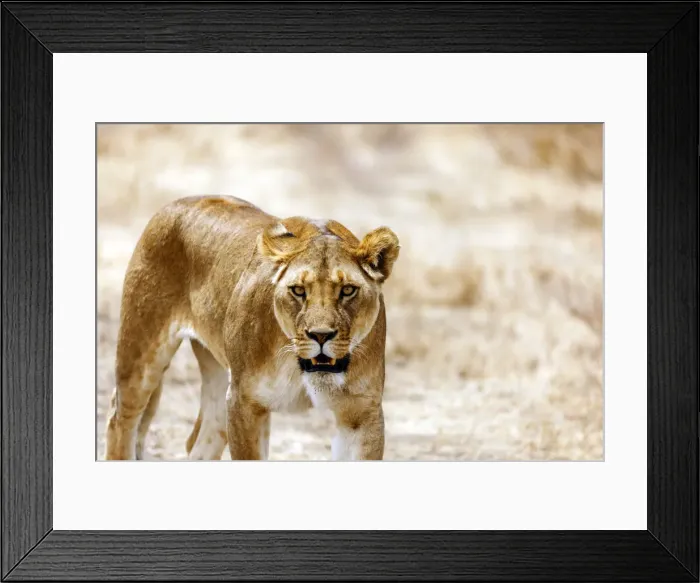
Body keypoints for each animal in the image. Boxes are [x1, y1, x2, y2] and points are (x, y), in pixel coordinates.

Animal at [104, 195, 400, 461]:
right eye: (298, 290)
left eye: (348, 290)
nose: (320, 335)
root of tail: (175, 203)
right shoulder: (244, 402)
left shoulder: (360, 414)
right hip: (141, 352)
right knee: (120, 420)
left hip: (218, 379)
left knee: (203, 440)